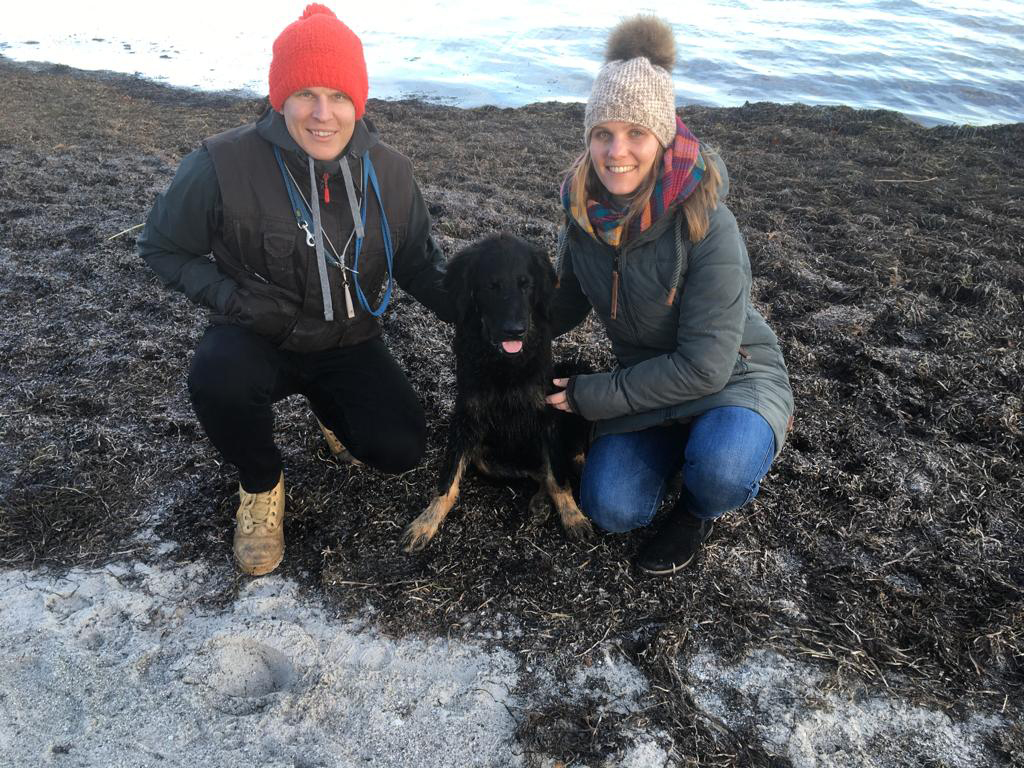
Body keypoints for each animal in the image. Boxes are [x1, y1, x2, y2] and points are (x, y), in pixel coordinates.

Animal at [400, 233, 594, 552]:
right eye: (491, 286)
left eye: (525, 284)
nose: (515, 331)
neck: (505, 364)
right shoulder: (466, 415)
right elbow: (448, 479)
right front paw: (425, 522)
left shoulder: (547, 414)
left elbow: (558, 477)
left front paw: (573, 516)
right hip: (487, 458)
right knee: (539, 472)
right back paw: (540, 502)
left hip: (576, 374)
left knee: (565, 463)